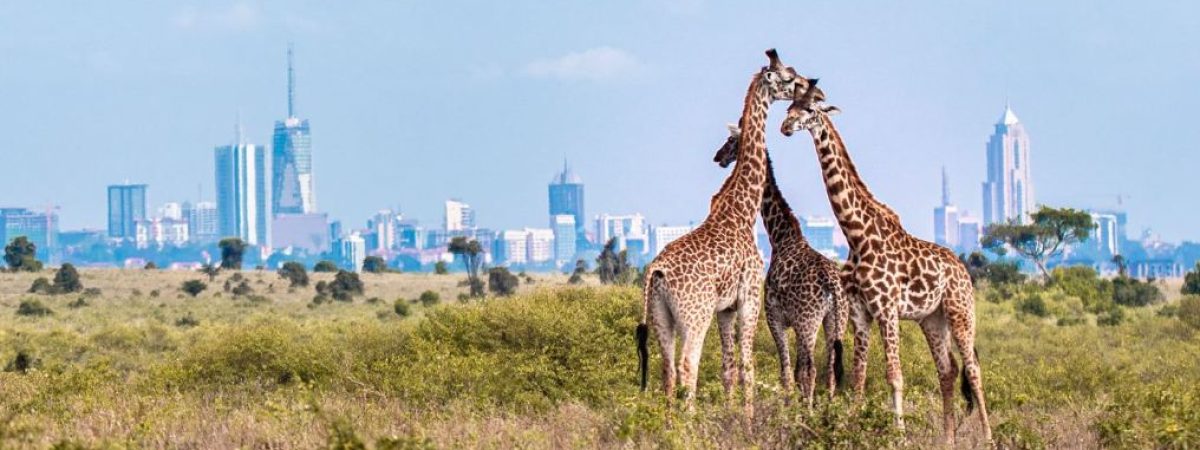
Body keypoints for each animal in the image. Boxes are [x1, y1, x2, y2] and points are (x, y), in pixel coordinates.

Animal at [633, 49, 801, 420]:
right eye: (787, 77)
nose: (808, 86)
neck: (742, 210)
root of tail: (657, 271)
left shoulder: (725, 309)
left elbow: (728, 368)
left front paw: (731, 416)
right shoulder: (750, 297)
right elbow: (748, 366)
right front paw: (748, 422)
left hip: (661, 315)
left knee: (667, 369)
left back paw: (669, 425)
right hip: (695, 314)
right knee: (687, 364)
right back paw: (690, 424)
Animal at [715, 110, 849, 408]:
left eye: (730, 140)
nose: (718, 157)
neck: (781, 238)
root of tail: (833, 285)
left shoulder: (775, 317)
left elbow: (787, 370)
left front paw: (790, 408)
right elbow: (795, 371)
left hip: (808, 321)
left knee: (811, 369)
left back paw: (809, 411)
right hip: (835, 321)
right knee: (830, 368)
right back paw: (831, 408)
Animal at [777, 85, 993, 448]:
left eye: (809, 109)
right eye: (789, 106)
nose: (785, 127)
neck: (856, 235)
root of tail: (964, 270)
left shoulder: (887, 308)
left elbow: (894, 374)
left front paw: (900, 435)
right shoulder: (860, 312)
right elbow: (859, 375)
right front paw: (852, 427)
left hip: (961, 311)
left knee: (974, 370)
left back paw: (989, 437)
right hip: (931, 319)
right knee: (947, 370)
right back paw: (947, 437)